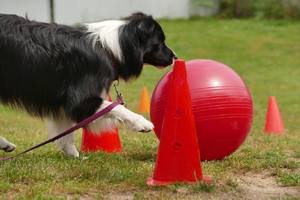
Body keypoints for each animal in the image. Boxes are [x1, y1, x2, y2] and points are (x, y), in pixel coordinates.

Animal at [0, 12, 176, 156]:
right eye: (161, 42)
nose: (174, 56)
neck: (108, 48)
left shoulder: (62, 101)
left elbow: (66, 133)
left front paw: (74, 155)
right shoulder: (79, 100)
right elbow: (115, 107)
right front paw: (142, 123)